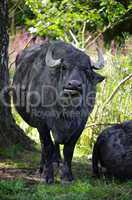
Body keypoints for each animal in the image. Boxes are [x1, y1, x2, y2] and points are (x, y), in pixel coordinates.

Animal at [12, 40, 104, 183]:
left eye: (86, 70)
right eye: (64, 67)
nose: (74, 85)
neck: (65, 111)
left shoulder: (81, 123)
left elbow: (69, 148)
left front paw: (67, 176)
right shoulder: (42, 122)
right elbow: (47, 146)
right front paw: (48, 176)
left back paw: (57, 162)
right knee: (43, 144)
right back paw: (43, 168)